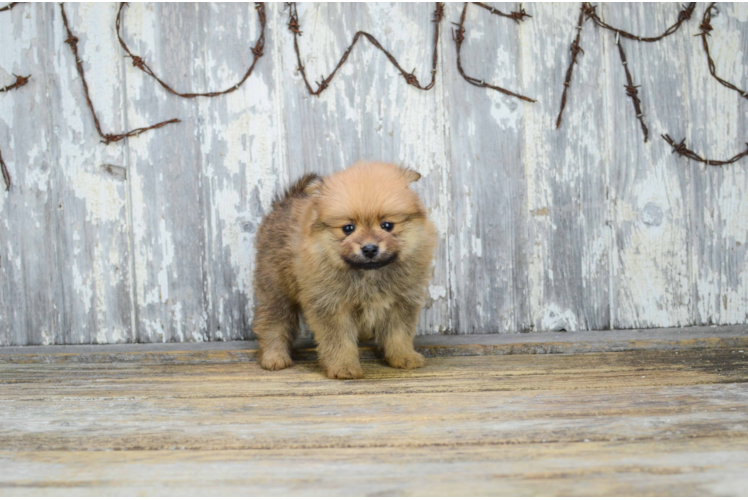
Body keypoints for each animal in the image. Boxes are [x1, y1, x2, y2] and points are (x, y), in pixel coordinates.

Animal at [253, 161, 436, 378]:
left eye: (387, 225)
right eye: (348, 228)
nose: (369, 248)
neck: (369, 273)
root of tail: (286, 202)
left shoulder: (401, 302)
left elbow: (398, 334)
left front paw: (404, 357)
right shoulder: (332, 305)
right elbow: (339, 341)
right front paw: (344, 367)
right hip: (275, 289)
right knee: (273, 323)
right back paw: (274, 357)